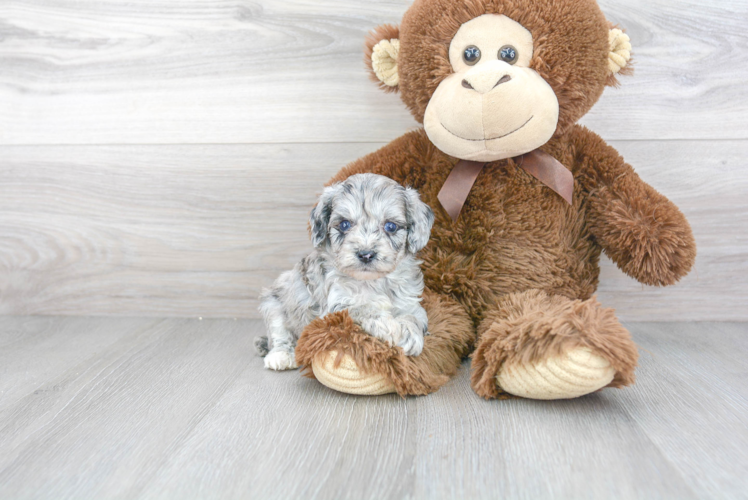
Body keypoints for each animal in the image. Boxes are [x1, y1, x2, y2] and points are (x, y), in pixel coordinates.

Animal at [256, 174, 436, 370]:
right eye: (344, 224)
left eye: (390, 226)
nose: (366, 254)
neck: (373, 282)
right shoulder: (337, 306)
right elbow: (364, 308)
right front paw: (391, 327)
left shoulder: (409, 303)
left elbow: (414, 316)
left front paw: (410, 333)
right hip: (274, 303)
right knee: (279, 335)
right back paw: (281, 355)